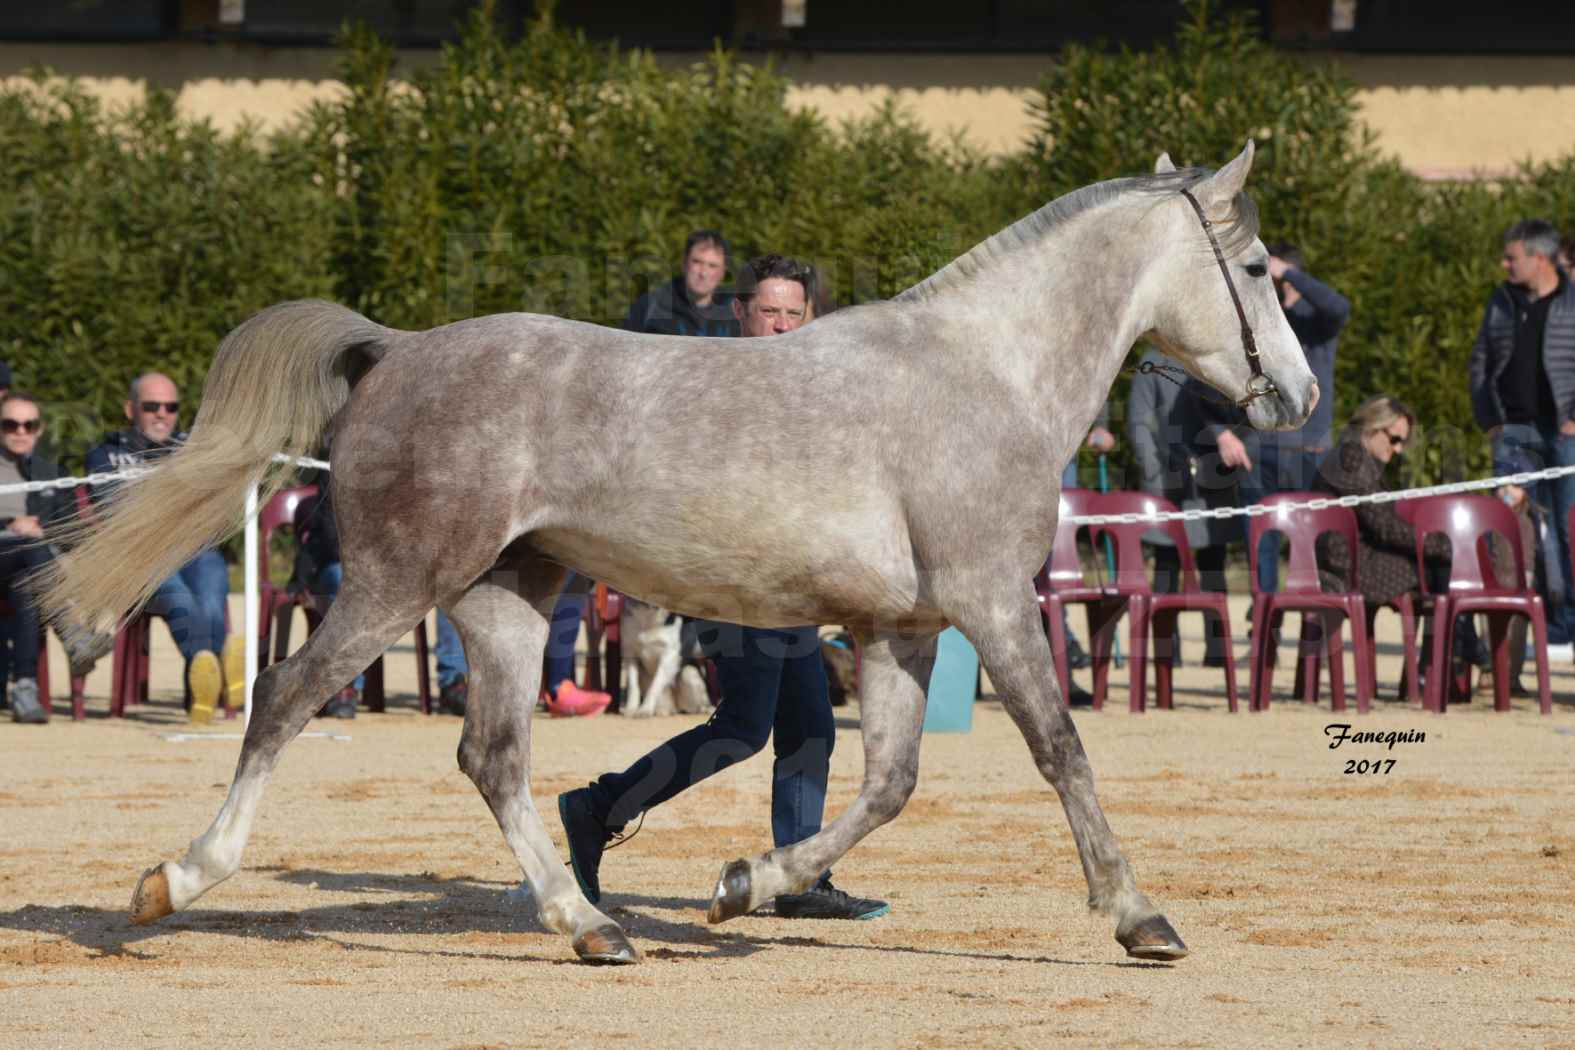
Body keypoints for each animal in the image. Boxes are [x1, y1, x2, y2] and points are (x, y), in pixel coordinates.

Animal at [37, 141, 1316, 969]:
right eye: (1259, 272)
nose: (1297, 397)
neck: (983, 375)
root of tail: (394, 350)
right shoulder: (993, 604)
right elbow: (1061, 753)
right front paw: (1140, 917)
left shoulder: (902, 630)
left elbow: (887, 784)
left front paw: (746, 886)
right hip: (400, 586)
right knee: (287, 699)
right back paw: (174, 881)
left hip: (508, 599)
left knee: (493, 757)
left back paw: (592, 928)